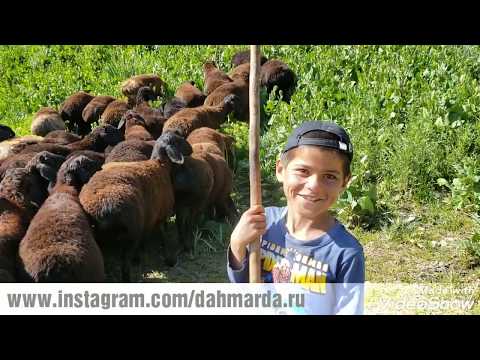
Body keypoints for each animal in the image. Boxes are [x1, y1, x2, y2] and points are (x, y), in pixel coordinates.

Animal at [78, 130, 192, 282]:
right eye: (178, 141)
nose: (191, 149)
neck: (160, 165)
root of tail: (101, 209)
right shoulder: (161, 215)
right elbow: (164, 237)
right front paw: (169, 259)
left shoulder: (149, 217)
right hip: (130, 232)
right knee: (125, 262)